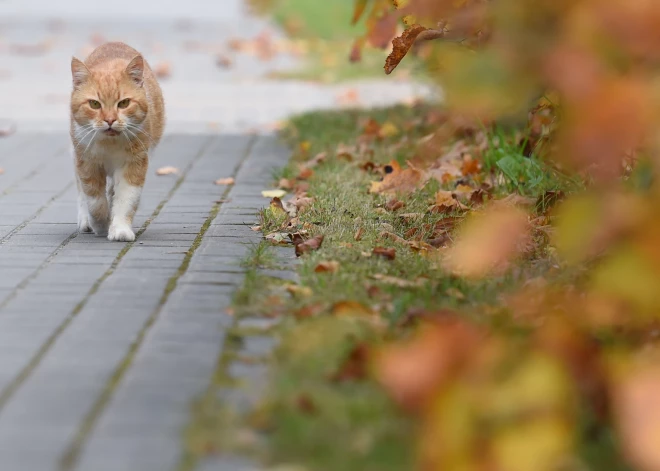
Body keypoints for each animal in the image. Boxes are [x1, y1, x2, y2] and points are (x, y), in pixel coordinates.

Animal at [69, 42, 165, 242]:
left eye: (124, 103)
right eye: (94, 104)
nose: (110, 120)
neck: (109, 144)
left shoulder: (134, 164)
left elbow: (125, 199)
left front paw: (119, 229)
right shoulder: (86, 163)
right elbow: (94, 201)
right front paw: (100, 225)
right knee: (81, 192)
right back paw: (86, 221)